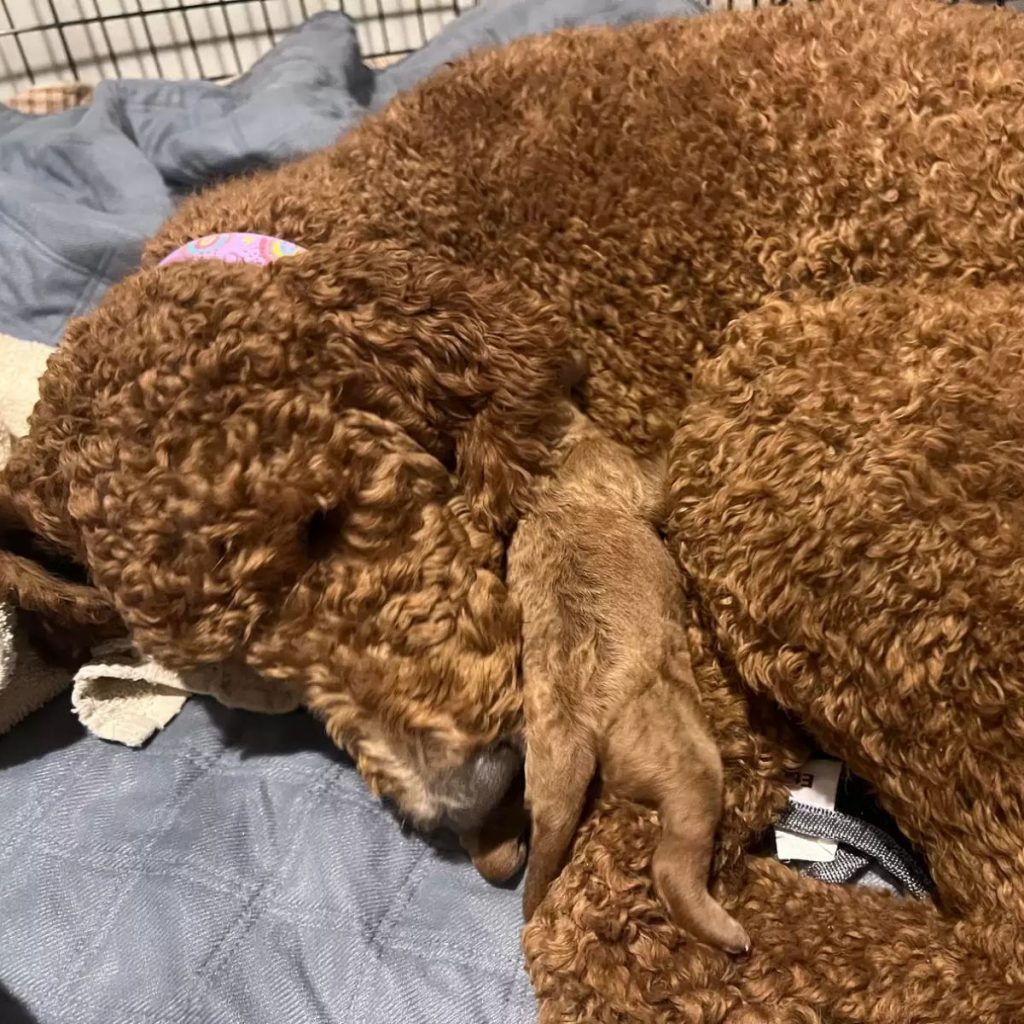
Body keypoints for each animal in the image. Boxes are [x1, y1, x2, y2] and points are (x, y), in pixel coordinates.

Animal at [507, 413, 749, 950]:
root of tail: (578, 731)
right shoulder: (634, 482)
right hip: (689, 766)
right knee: (676, 859)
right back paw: (728, 931)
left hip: (550, 769)